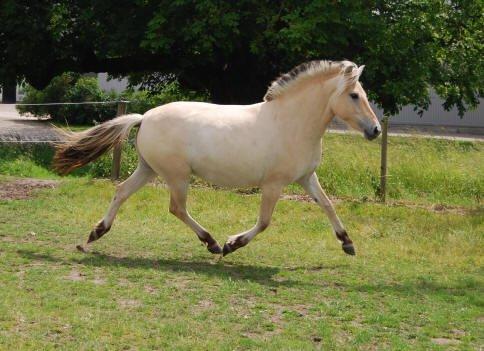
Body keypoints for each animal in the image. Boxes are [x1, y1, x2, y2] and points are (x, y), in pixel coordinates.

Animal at [54, 59, 382, 258]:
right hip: (176, 175)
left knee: (121, 192)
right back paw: (211, 242)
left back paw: (96, 233)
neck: (292, 122)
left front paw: (347, 243)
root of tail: (144, 117)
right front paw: (231, 244)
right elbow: (264, 221)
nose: (376, 130)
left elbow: (327, 205)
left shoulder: (306, 177)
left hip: (149, 169)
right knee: (176, 208)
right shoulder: (273, 184)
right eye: (354, 95)